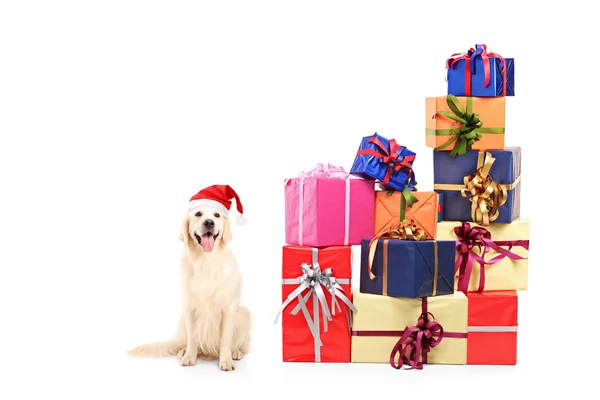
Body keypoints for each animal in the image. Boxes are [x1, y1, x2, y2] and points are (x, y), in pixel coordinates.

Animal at [129, 203, 251, 372]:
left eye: (217, 215)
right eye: (198, 214)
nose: (209, 222)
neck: (205, 261)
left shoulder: (229, 307)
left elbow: (226, 339)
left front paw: (226, 360)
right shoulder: (189, 308)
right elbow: (192, 338)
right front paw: (189, 356)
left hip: (244, 313)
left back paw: (236, 352)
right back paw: (183, 350)